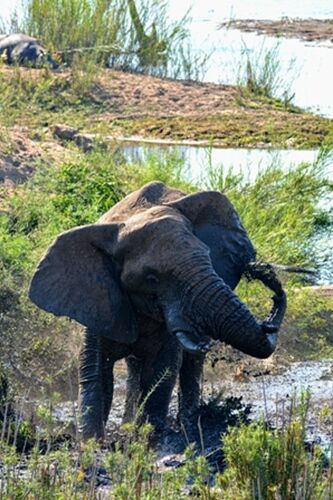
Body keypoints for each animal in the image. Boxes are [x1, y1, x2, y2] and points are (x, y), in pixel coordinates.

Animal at [28, 182, 286, 440]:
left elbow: (161, 372)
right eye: (152, 278)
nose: (261, 271)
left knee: (190, 366)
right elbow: (96, 371)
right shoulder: (98, 300)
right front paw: (92, 443)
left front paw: (149, 439)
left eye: (208, 257)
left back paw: (189, 427)